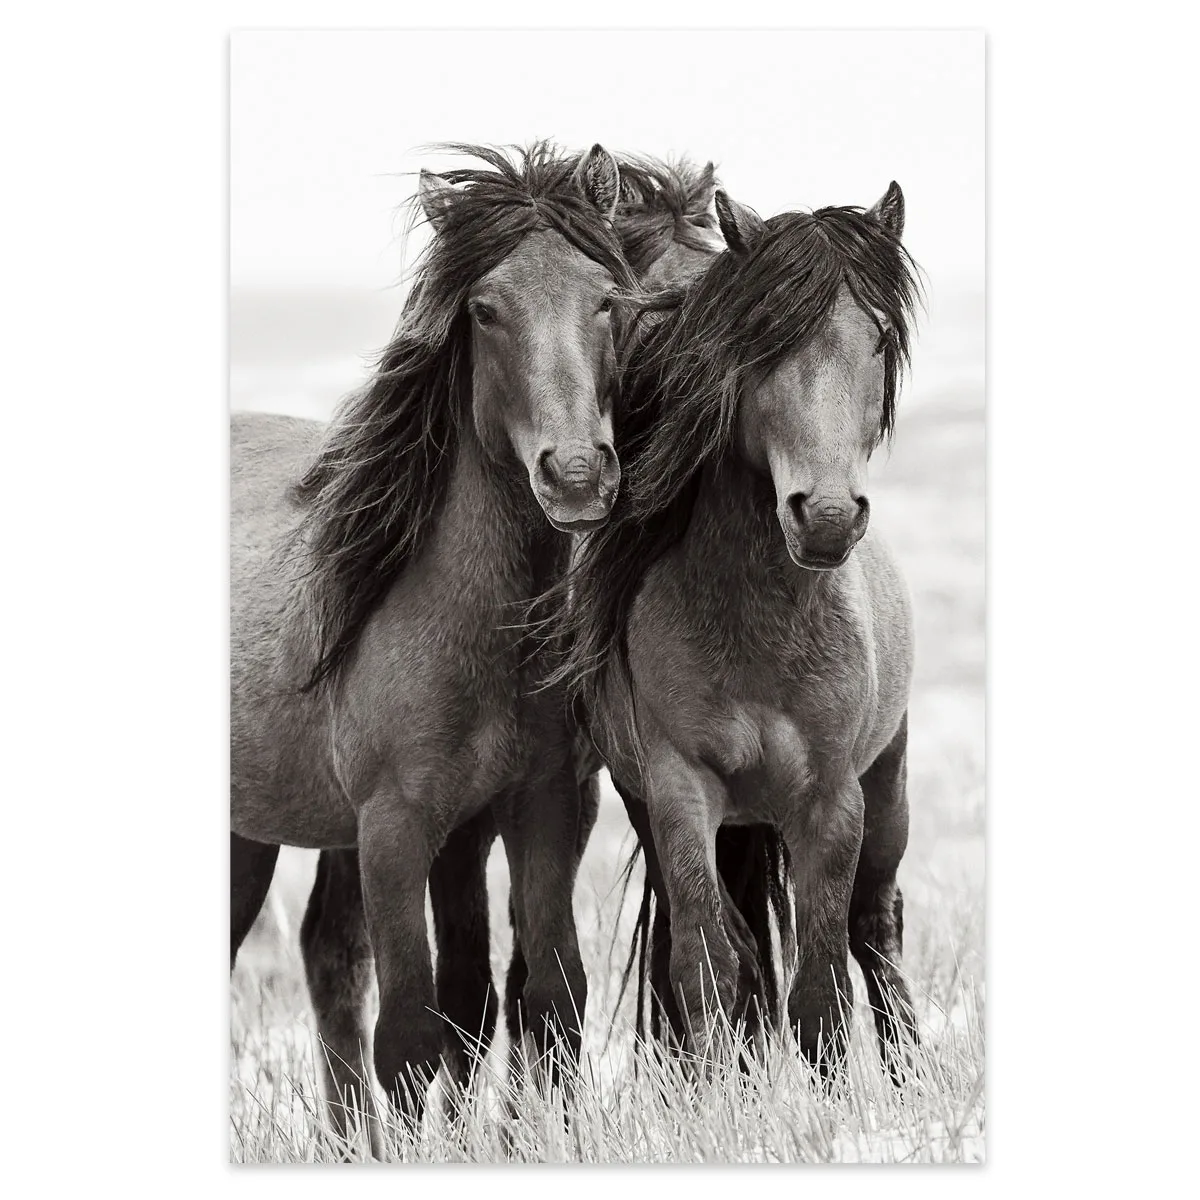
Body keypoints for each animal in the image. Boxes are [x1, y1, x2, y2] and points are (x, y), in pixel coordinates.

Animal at [230, 141, 638, 1145]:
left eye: (608, 300)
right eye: (485, 310)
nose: (576, 474)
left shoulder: (537, 811)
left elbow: (542, 1001)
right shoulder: (396, 829)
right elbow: (415, 1032)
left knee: (329, 957)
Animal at [556, 183, 922, 1079]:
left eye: (879, 337)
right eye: (763, 343)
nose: (826, 517)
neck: (759, 631)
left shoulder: (833, 800)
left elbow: (822, 984)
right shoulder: (679, 794)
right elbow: (710, 961)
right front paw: (721, 1087)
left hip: (889, 784)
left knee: (876, 928)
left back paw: (908, 1074)